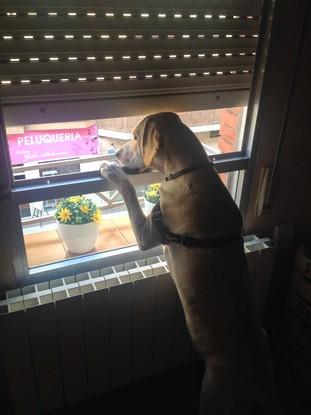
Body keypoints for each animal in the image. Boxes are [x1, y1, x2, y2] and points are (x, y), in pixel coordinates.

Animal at [101, 112, 284, 414]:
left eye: (136, 137)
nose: (115, 153)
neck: (189, 169)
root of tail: (259, 386)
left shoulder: (147, 234)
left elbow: (129, 192)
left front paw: (113, 171)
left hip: (211, 392)